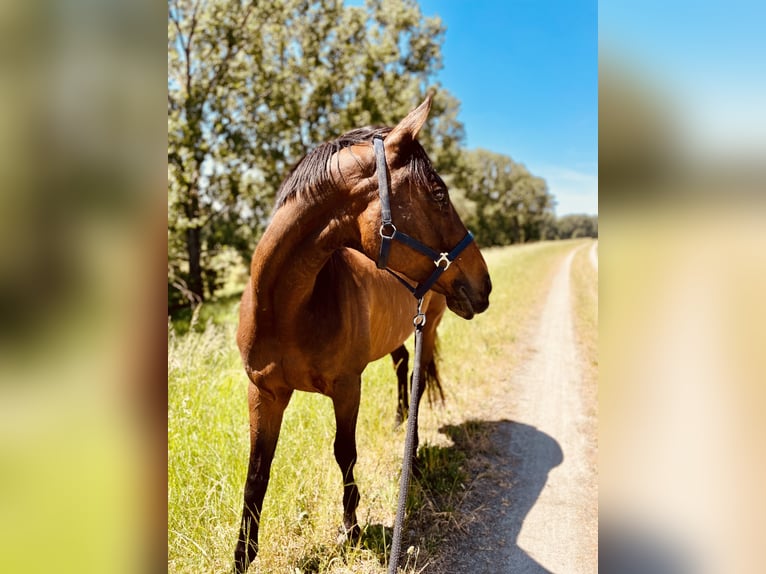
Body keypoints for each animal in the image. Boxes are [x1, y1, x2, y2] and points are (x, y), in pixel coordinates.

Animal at [234, 94, 496, 572]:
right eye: (438, 194)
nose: (484, 283)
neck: (289, 311)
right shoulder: (263, 392)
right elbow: (257, 474)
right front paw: (241, 557)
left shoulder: (346, 387)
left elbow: (345, 452)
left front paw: (351, 531)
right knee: (402, 366)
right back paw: (398, 423)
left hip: (425, 328)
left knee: (418, 382)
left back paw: (412, 458)